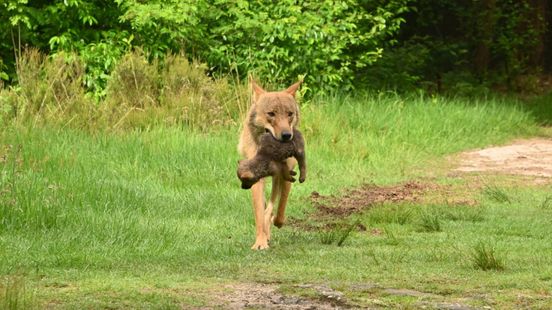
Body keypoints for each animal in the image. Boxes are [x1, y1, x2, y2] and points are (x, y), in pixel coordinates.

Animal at [238, 78, 304, 249]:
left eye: (289, 114)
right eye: (271, 114)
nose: (287, 135)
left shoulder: (287, 175)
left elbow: (280, 208)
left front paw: (276, 223)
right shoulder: (255, 178)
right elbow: (259, 215)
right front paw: (260, 242)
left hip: (277, 178)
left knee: (273, 205)